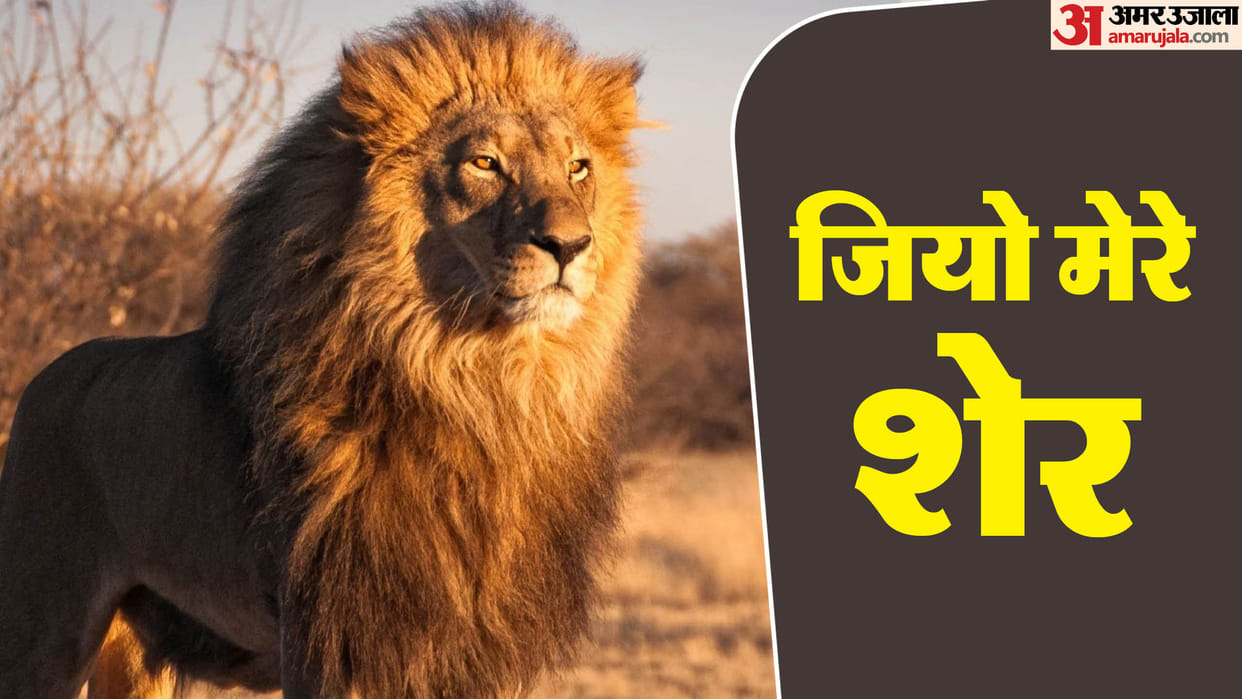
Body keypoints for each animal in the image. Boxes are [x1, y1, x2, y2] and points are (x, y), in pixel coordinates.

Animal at [0, 3, 646, 697]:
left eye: (578, 167)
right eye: (485, 163)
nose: (570, 245)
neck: (484, 386)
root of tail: (46, 376)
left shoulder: (475, 654)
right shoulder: (334, 642)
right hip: (42, 631)